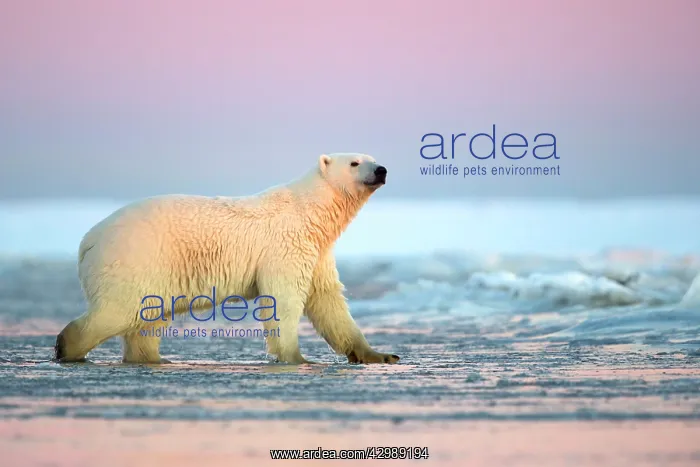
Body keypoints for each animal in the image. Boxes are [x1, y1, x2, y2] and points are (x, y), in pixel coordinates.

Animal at [54, 153, 400, 365]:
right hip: (134, 258)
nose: (381, 170)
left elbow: (329, 302)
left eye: (373, 159)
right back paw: (66, 347)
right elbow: (284, 297)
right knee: (118, 309)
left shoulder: (317, 251)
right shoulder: (286, 244)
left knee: (148, 316)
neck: (310, 213)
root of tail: (88, 239)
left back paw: (153, 358)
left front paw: (380, 355)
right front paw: (296, 357)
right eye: (355, 162)